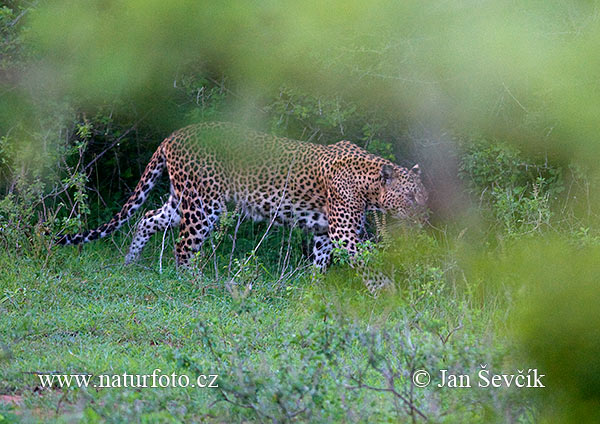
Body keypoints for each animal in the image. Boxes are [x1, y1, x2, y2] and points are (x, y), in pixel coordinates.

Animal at [57, 121, 426, 270]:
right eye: (410, 199)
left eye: (422, 199)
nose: (424, 218)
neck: (369, 183)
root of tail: (174, 135)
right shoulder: (344, 234)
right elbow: (368, 263)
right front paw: (387, 294)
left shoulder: (324, 231)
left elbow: (320, 265)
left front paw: (316, 293)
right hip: (204, 205)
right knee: (183, 247)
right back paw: (191, 283)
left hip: (181, 199)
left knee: (147, 219)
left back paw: (130, 263)